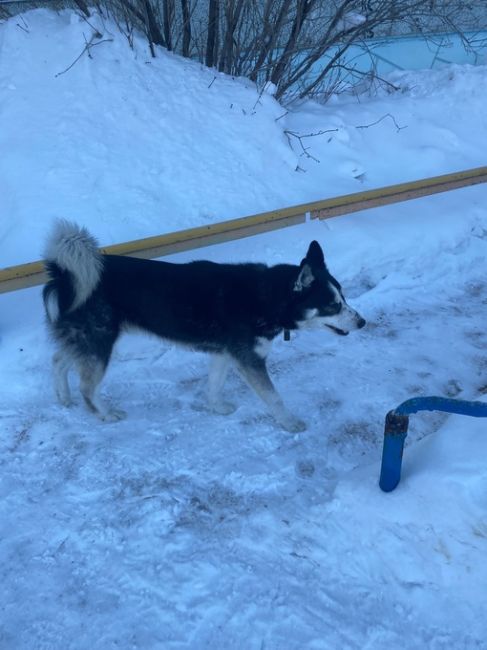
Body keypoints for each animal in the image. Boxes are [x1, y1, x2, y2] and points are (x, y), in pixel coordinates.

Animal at [43, 221, 366, 430]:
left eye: (344, 298)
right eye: (332, 306)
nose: (362, 322)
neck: (266, 297)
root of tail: (64, 275)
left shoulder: (225, 354)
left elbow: (215, 384)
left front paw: (216, 407)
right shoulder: (249, 360)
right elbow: (274, 397)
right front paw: (289, 422)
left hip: (87, 342)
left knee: (58, 359)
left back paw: (63, 397)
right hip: (99, 343)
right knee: (87, 385)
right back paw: (103, 414)